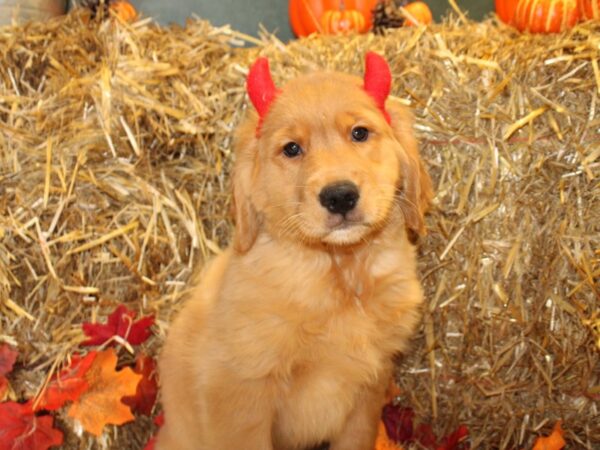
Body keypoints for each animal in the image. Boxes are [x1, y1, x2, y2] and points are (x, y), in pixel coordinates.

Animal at [157, 53, 434, 450]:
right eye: (291, 149)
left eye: (360, 133)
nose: (340, 196)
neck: (340, 273)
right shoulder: (239, 394)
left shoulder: (370, 388)